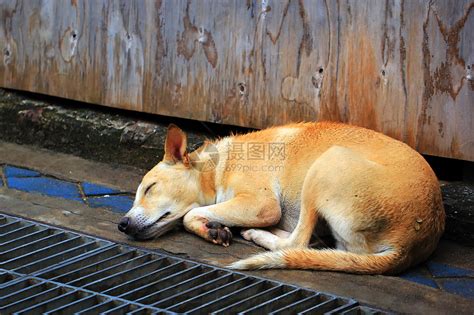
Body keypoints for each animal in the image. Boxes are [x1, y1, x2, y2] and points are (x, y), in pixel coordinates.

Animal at [117, 122, 444, 276]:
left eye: (150, 188)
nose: (122, 224)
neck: (217, 167)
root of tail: (411, 243)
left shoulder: (262, 205)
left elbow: (188, 215)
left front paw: (212, 228)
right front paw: (213, 228)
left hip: (326, 164)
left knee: (297, 243)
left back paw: (257, 234)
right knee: (309, 244)